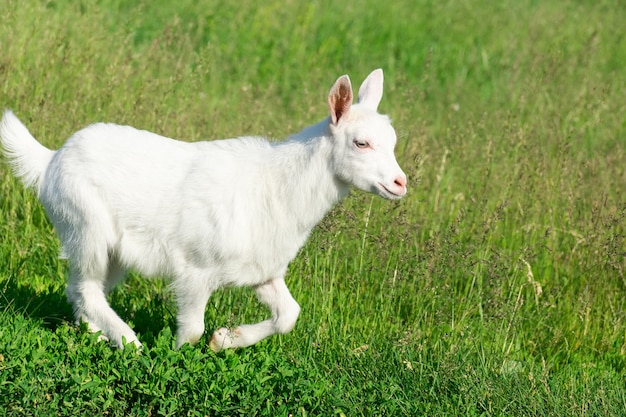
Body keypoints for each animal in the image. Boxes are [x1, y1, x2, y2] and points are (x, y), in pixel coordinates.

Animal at [0, 70, 404, 350]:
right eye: (361, 143)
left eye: (393, 141)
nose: (400, 183)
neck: (277, 187)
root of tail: (50, 161)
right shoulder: (196, 268)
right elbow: (192, 330)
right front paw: (179, 358)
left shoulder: (264, 271)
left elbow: (289, 315)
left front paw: (226, 340)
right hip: (86, 226)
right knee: (85, 289)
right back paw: (130, 343)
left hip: (109, 250)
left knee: (80, 288)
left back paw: (99, 337)